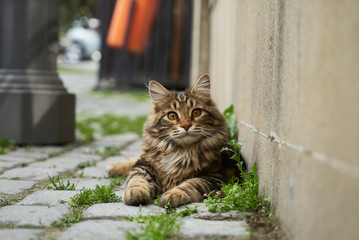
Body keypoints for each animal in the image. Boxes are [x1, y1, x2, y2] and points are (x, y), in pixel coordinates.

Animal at [107, 74, 242, 207]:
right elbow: (137, 179)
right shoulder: (143, 166)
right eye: (172, 116)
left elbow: (192, 183)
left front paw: (172, 194)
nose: (186, 125)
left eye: (196, 112)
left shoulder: (215, 176)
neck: (179, 151)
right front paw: (135, 192)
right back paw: (113, 167)